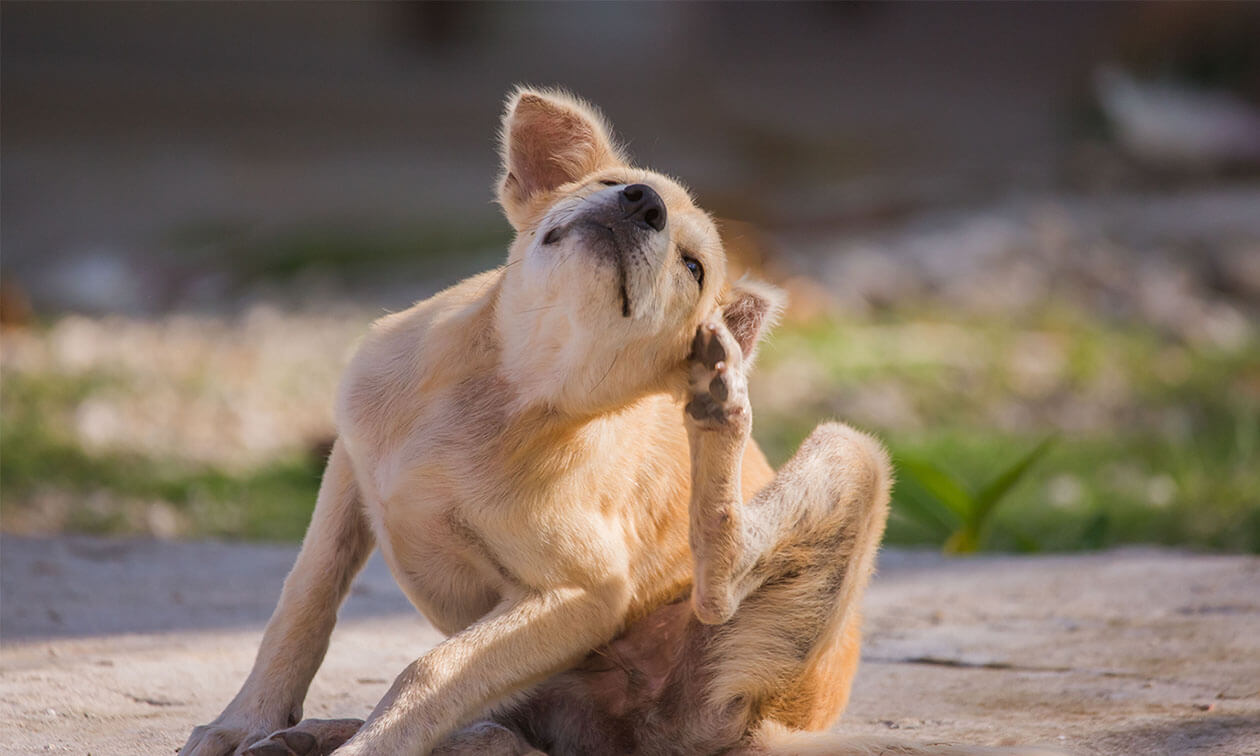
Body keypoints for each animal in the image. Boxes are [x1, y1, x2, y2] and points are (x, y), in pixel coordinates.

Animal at [177, 90, 1043, 756]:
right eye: (616, 182)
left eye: (693, 267)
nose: (642, 203)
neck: (505, 388)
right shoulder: (350, 473)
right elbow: (302, 606)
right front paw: (243, 722)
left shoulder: (583, 591)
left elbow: (433, 669)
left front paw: (364, 745)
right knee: (501, 732)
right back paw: (314, 734)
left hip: (844, 467)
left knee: (718, 586)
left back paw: (720, 408)